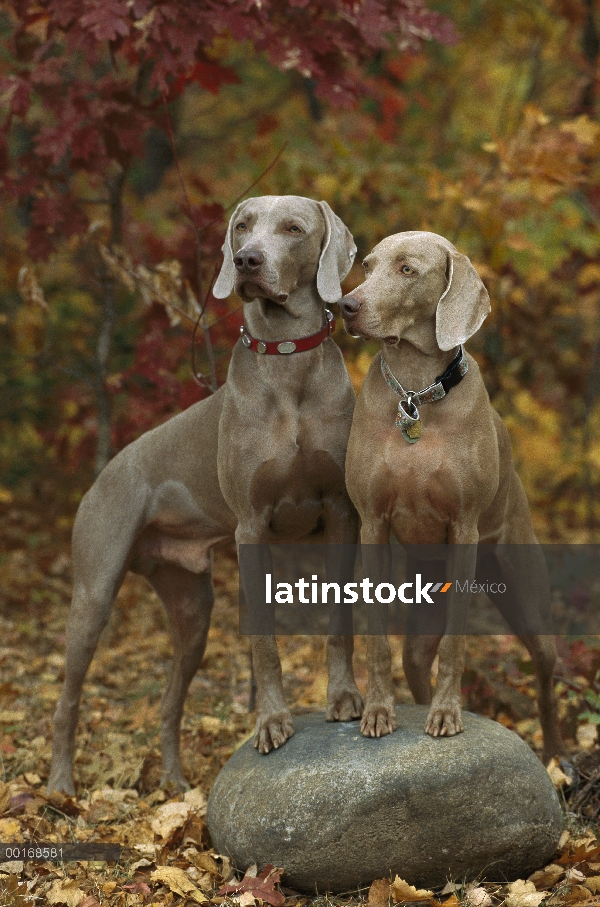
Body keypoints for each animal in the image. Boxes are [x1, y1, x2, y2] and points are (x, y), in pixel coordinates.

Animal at [47, 195, 360, 792]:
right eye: (241, 226)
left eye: (293, 228)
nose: (246, 260)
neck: (288, 362)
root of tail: (105, 472)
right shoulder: (252, 525)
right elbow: (264, 641)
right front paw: (272, 723)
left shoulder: (340, 515)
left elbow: (339, 623)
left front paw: (345, 699)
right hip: (94, 591)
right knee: (68, 698)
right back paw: (60, 788)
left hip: (192, 606)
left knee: (170, 703)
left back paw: (174, 784)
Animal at [340, 231, 564, 764]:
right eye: (368, 265)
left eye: (407, 269)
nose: (346, 306)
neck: (417, 392)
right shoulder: (372, 523)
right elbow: (376, 638)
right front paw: (378, 711)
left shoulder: (464, 528)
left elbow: (458, 642)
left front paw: (447, 714)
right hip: (424, 609)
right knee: (416, 657)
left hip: (526, 594)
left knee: (547, 675)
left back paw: (553, 757)